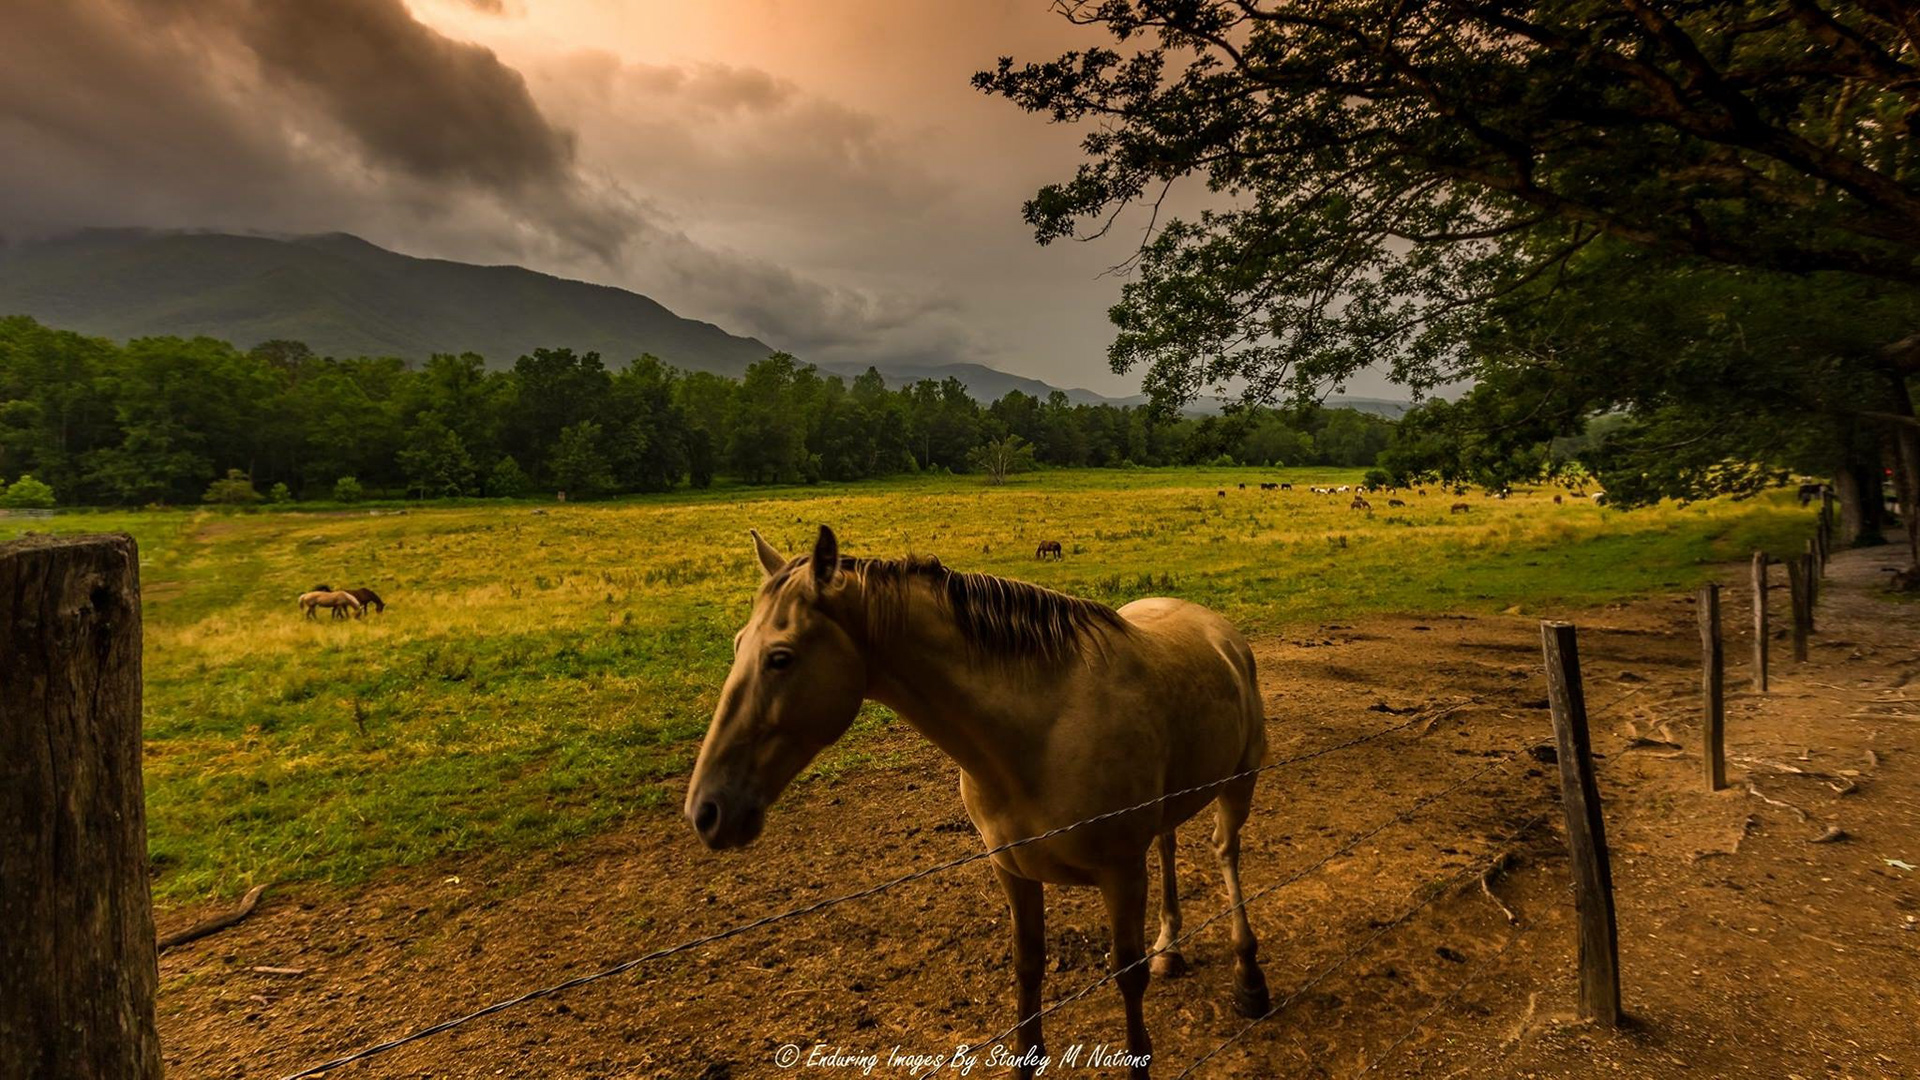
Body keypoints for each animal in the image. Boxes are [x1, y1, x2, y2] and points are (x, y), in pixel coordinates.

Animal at [688, 527, 1271, 1077]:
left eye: (780, 658)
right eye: (737, 644)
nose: (706, 810)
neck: (1039, 733)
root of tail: (1220, 631)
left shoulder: (1121, 874)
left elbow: (1130, 990)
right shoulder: (1013, 870)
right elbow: (1028, 975)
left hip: (1238, 786)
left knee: (1225, 851)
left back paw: (1249, 977)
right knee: (1170, 847)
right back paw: (1170, 949)